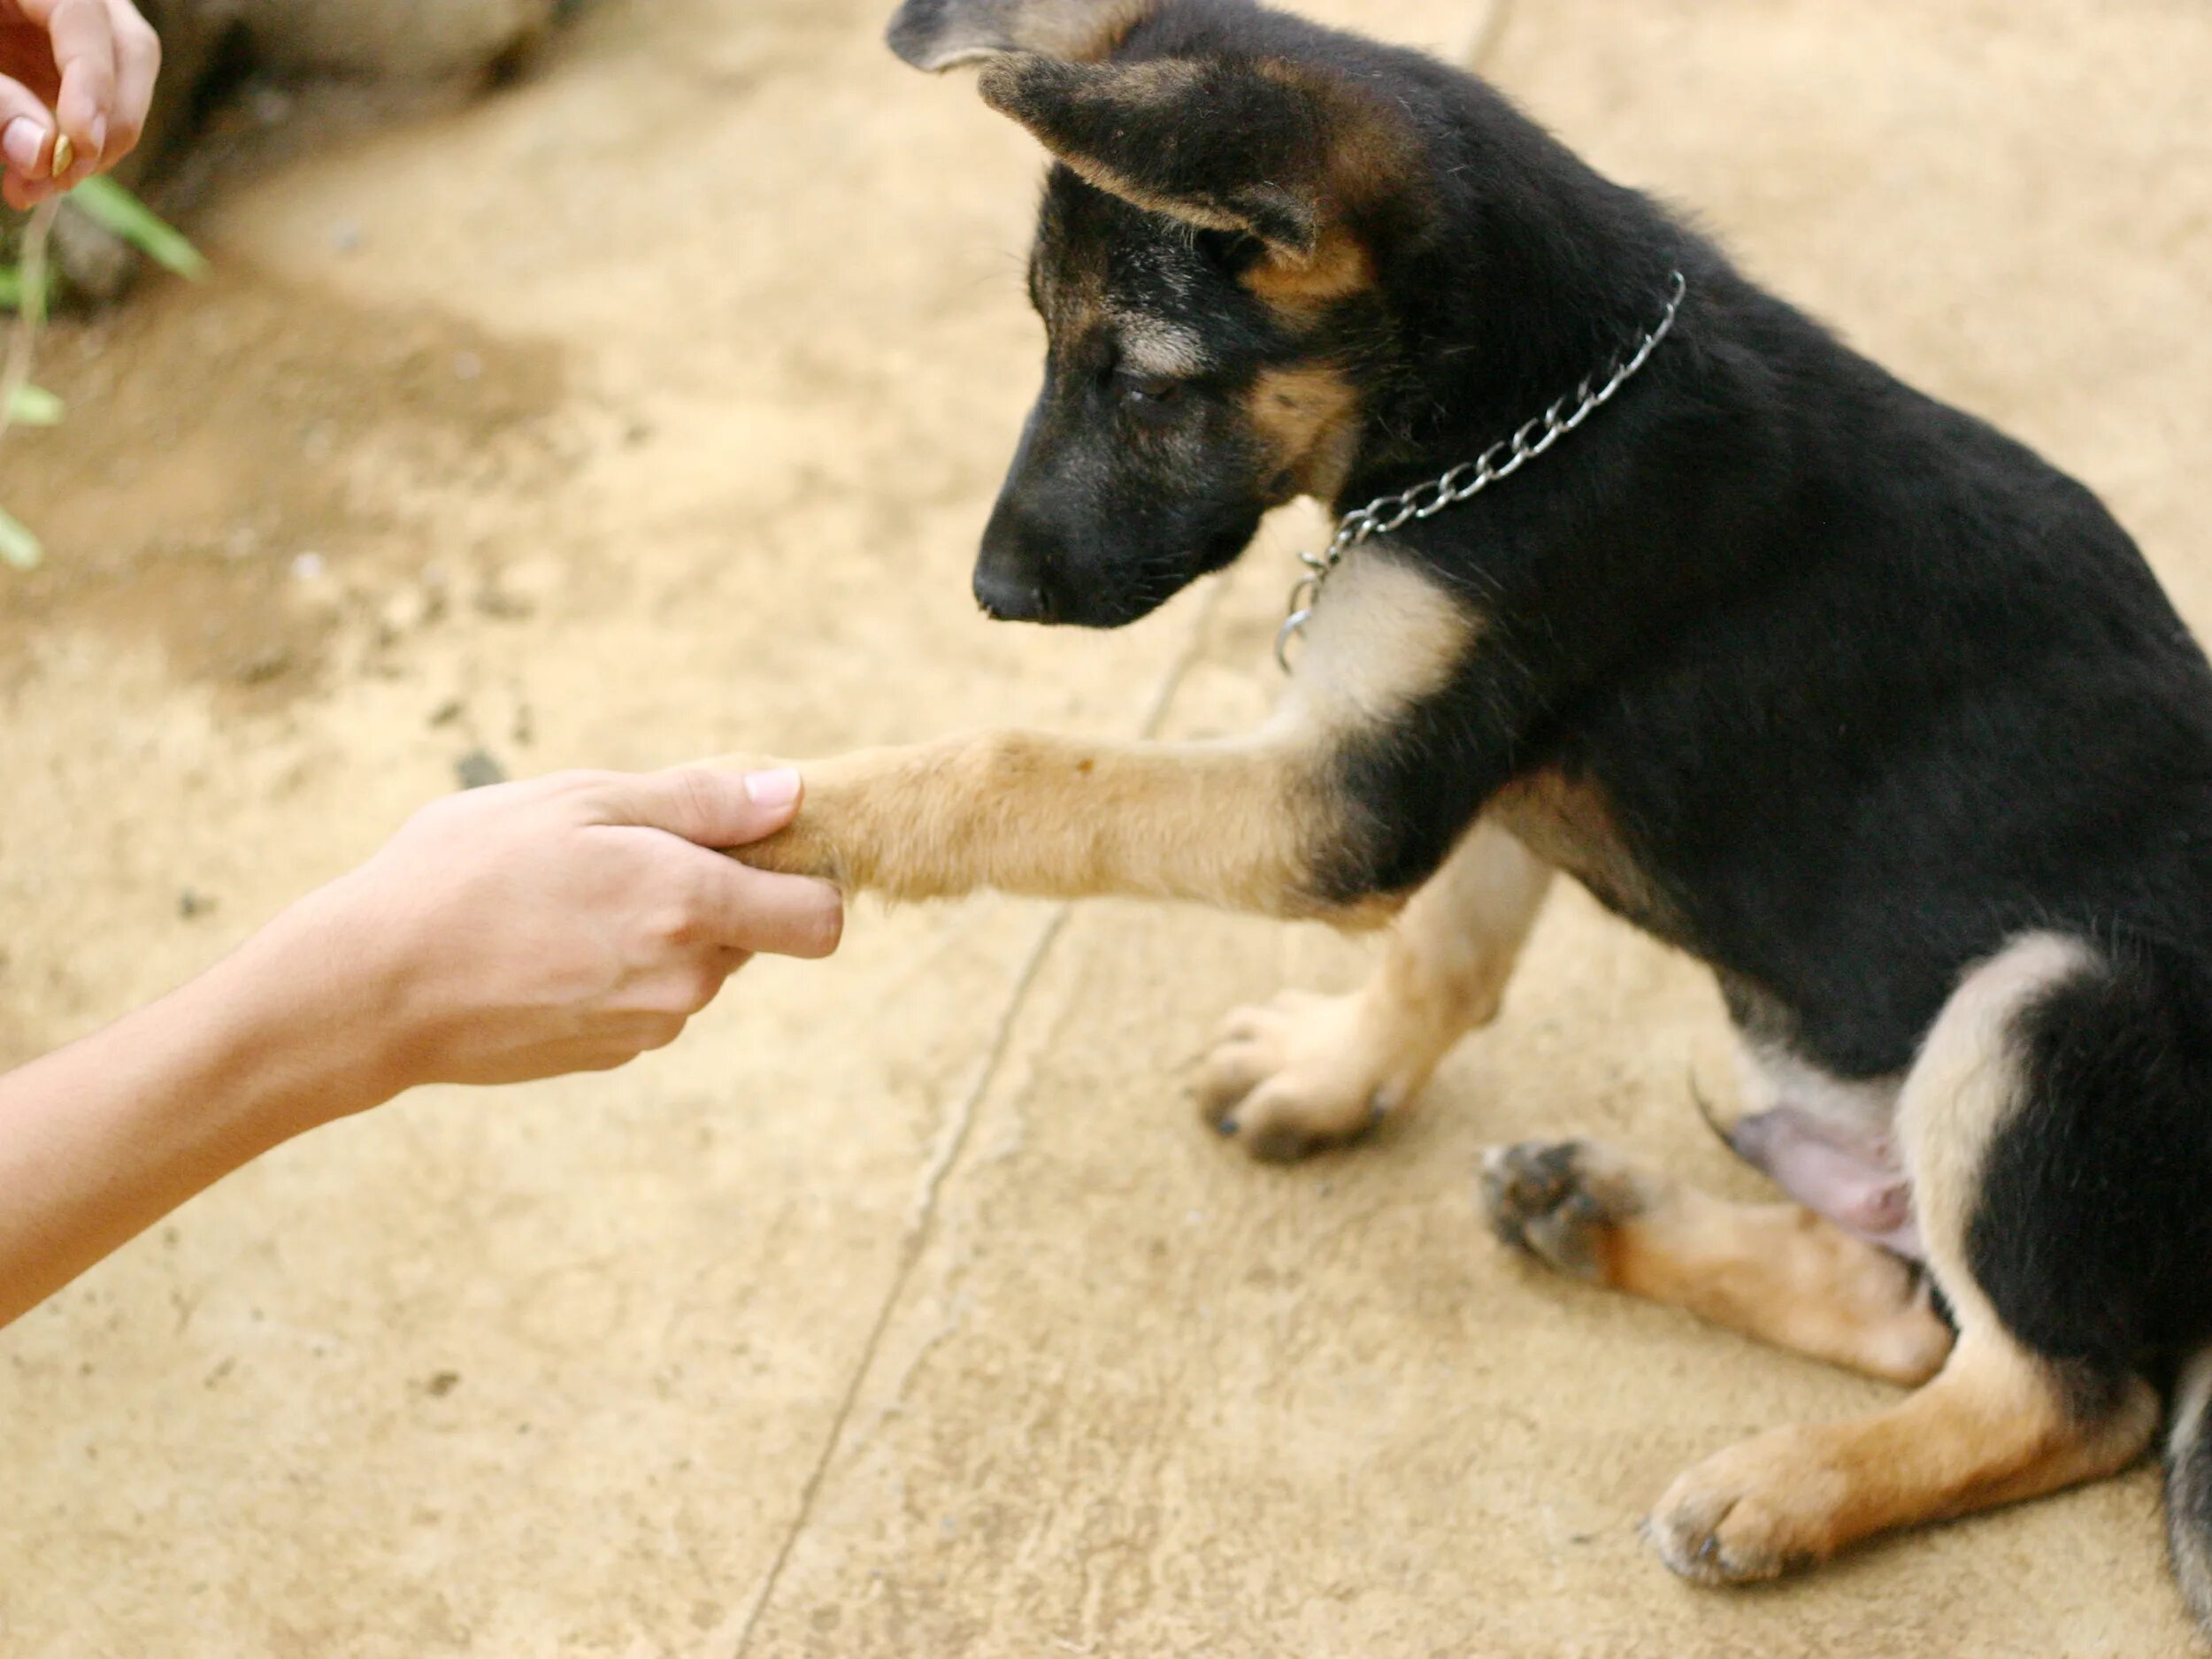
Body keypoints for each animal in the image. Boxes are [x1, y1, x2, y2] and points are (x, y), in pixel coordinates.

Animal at [734, 0, 2212, 1628]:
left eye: (1148, 382)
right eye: (1048, 343)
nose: (994, 591)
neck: (1517, 410)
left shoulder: (1361, 789)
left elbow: (1021, 769)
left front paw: (802, 810)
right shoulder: (1463, 757)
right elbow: (1445, 957)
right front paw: (1334, 1069)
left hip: (2052, 996)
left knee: (2066, 1394)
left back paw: (1780, 1486)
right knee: (1912, 1312)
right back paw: (1602, 1220)